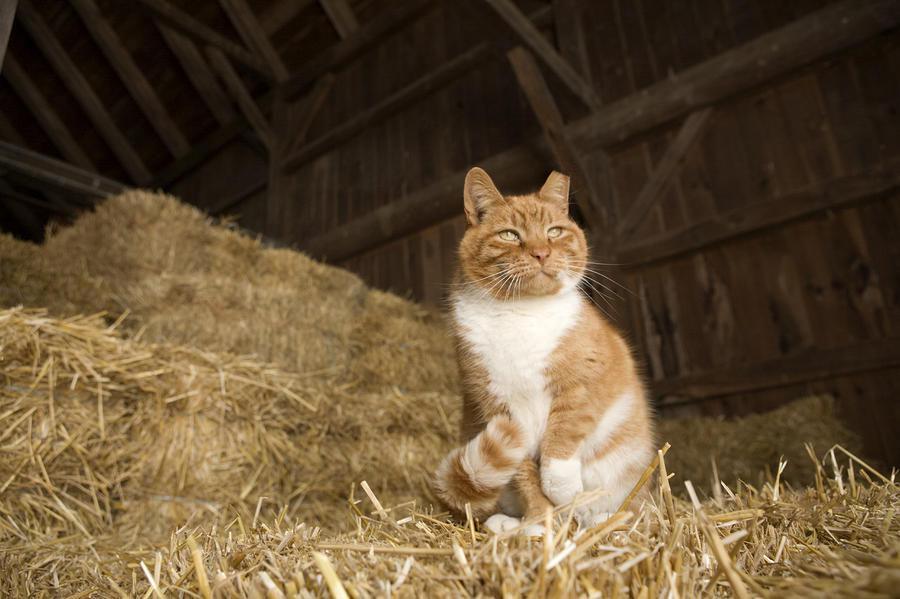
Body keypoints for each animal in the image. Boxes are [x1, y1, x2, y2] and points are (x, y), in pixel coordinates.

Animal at [434, 166, 652, 532]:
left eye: (554, 232)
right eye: (510, 235)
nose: (541, 253)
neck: (521, 314)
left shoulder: (583, 385)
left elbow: (559, 449)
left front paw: (566, 496)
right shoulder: (498, 411)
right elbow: (524, 476)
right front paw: (541, 522)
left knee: (639, 506)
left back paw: (605, 518)